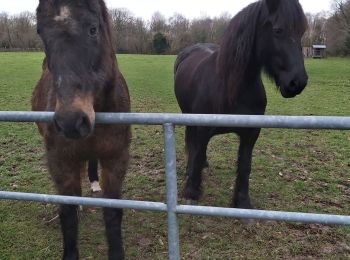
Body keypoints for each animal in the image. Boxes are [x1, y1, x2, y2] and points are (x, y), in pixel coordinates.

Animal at [31, 1, 130, 258]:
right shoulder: (61, 162)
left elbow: (113, 212)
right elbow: (67, 213)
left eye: (93, 29)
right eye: (41, 33)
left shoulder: (116, 159)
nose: (71, 121)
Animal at [174, 0, 306, 208]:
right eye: (278, 30)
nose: (297, 83)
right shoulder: (203, 128)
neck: (231, 88)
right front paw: (191, 191)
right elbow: (197, 152)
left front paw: (242, 201)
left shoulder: (250, 134)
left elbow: (244, 166)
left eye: (301, 33)